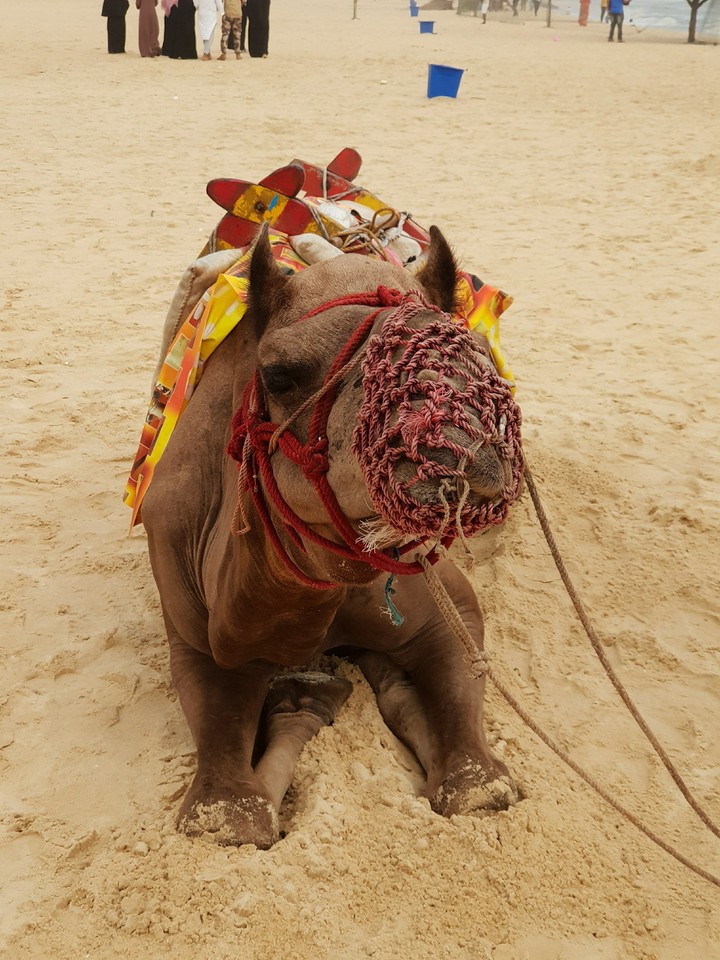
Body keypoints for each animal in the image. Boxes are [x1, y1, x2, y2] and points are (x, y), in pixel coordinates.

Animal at [140, 225, 524, 848]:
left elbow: (478, 783)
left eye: (479, 354)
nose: (447, 411)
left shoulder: (440, 596)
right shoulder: (193, 626)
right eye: (279, 374)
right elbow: (228, 815)